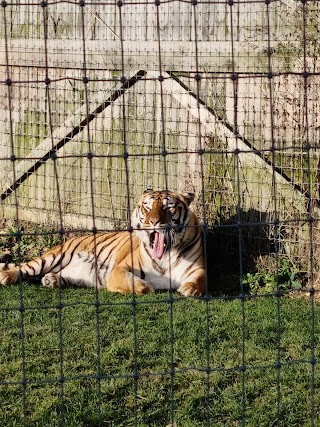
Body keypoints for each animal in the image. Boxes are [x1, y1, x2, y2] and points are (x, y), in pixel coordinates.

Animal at [0, 191, 205, 298]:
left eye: (168, 207)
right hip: (52, 257)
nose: (153, 222)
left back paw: (51, 280)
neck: (165, 254)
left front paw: (188, 289)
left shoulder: (198, 269)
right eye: (147, 206)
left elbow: (199, 280)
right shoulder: (120, 270)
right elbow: (139, 285)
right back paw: (7, 276)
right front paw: (150, 286)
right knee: (24, 267)